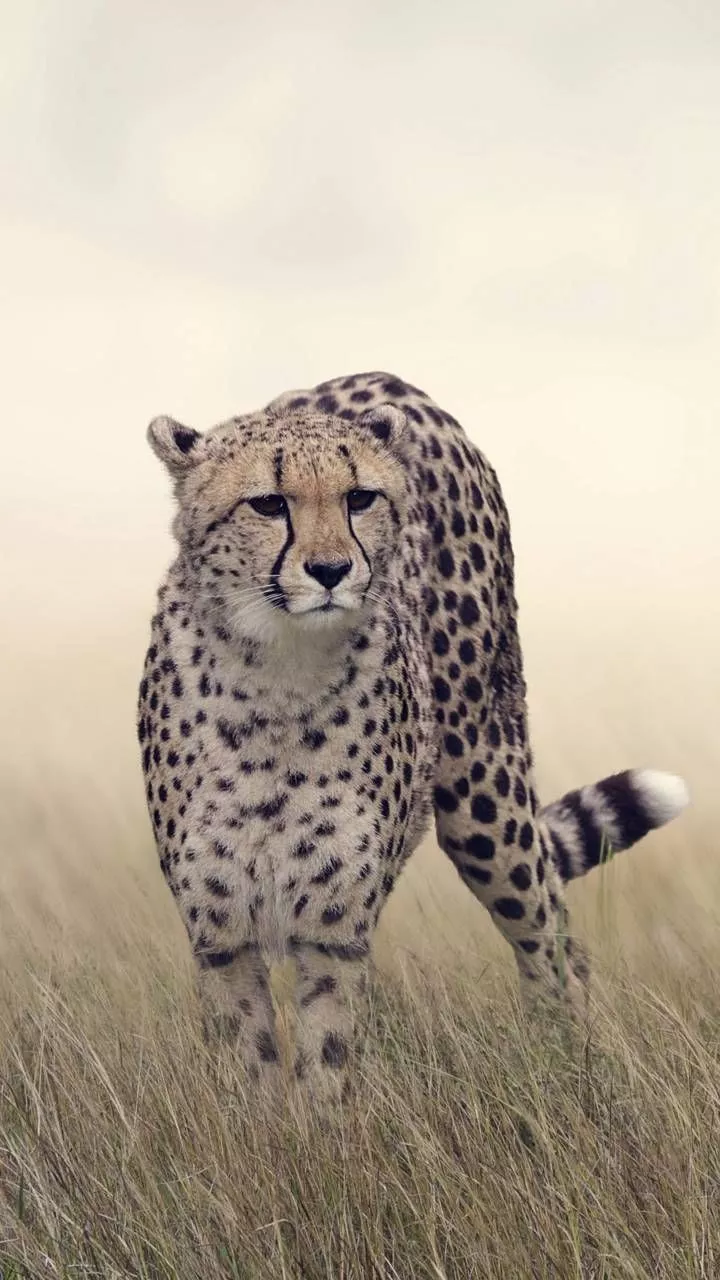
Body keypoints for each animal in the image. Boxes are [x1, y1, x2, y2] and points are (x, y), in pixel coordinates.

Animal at [137, 370, 689, 1104]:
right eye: (268, 504)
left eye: (360, 497)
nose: (332, 570)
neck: (279, 673)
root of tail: (387, 380)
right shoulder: (221, 938)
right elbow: (250, 1079)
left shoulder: (335, 934)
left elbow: (326, 1072)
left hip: (486, 800)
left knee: (550, 938)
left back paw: (566, 1071)